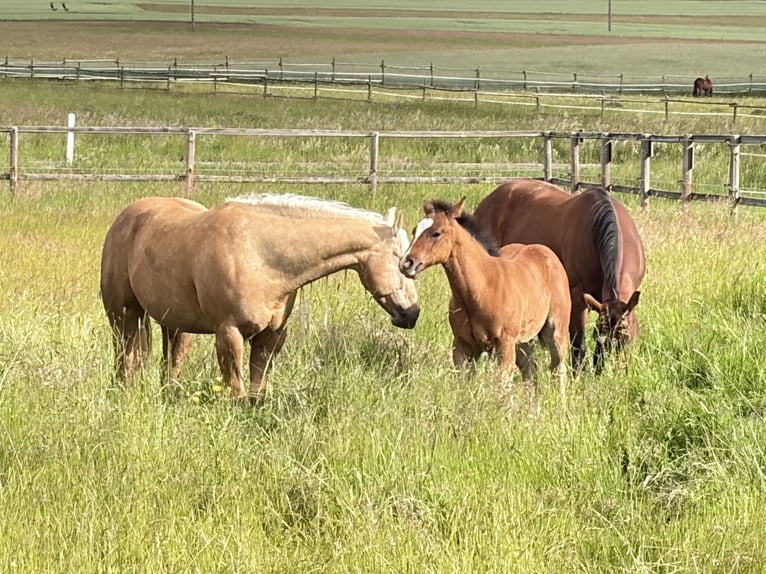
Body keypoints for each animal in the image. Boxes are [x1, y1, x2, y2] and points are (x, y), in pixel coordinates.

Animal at [100, 193, 420, 399]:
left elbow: (256, 393)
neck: (261, 255)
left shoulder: (271, 336)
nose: (412, 314)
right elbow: (238, 394)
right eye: (402, 261)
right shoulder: (229, 333)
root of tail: (125, 217)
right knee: (124, 362)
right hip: (123, 316)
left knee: (170, 368)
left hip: (175, 326)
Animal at [399, 198, 570, 391]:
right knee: (530, 369)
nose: (406, 263)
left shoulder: (504, 344)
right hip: (521, 341)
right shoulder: (463, 346)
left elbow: (502, 384)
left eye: (436, 233)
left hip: (555, 331)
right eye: (415, 230)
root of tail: (548, 254)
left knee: (558, 368)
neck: (482, 289)